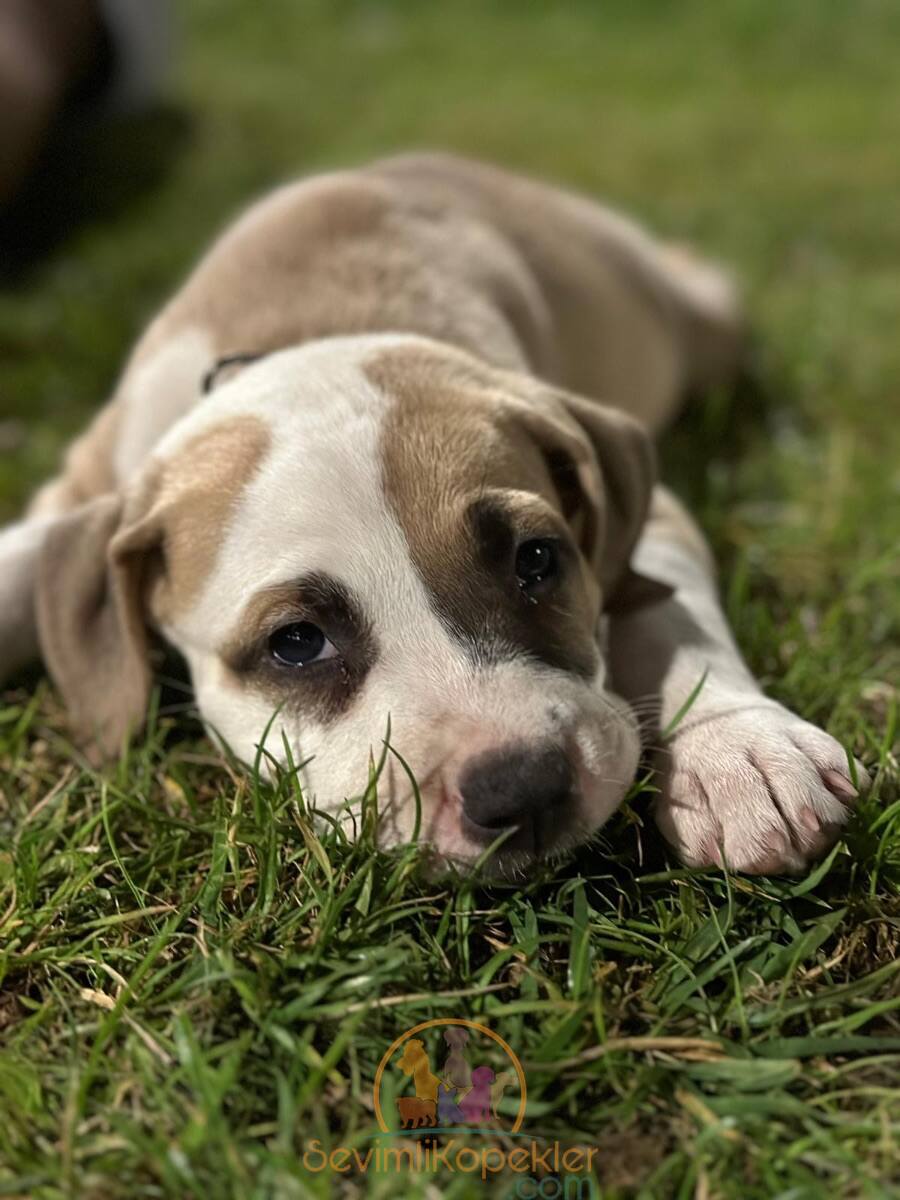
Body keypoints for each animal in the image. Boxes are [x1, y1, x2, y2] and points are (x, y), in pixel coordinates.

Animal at [0, 154, 873, 878]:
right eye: (296, 643)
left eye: (536, 560)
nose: (522, 790)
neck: (303, 338)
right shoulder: (89, 489)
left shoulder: (653, 515)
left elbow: (668, 613)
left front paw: (741, 747)